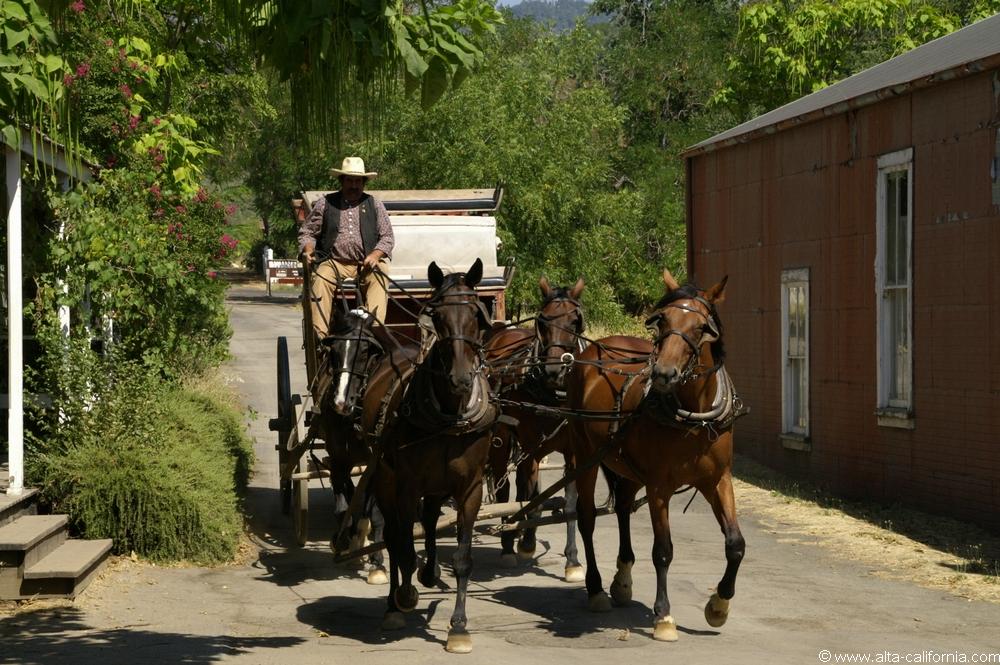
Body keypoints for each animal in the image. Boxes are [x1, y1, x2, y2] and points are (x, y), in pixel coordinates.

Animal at [370, 256, 498, 652]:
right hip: (386, 480)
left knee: (427, 520)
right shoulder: (407, 486)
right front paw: (404, 597)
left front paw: (458, 627)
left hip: (439, 485)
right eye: (436, 316)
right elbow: (402, 548)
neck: (450, 414)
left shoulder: (470, 489)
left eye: (476, 315)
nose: (460, 378)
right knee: (393, 535)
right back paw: (394, 604)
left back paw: (429, 573)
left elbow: (463, 559)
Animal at [484, 274, 584, 576]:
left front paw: (573, 561)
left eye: (575, 321)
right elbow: (531, 496)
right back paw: (508, 541)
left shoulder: (573, 451)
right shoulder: (531, 446)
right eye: (542, 320)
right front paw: (526, 543)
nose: (554, 369)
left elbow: (571, 502)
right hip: (503, 437)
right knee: (505, 488)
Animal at [568, 270, 748, 644]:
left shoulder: (717, 480)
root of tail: (594, 347)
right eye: (662, 320)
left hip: (627, 467)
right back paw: (595, 589)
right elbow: (663, 550)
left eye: (702, 327)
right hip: (585, 455)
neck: (695, 418)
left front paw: (719, 605)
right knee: (587, 517)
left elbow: (735, 544)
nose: (664, 373)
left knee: (623, 505)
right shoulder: (659, 488)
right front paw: (664, 616)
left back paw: (622, 581)